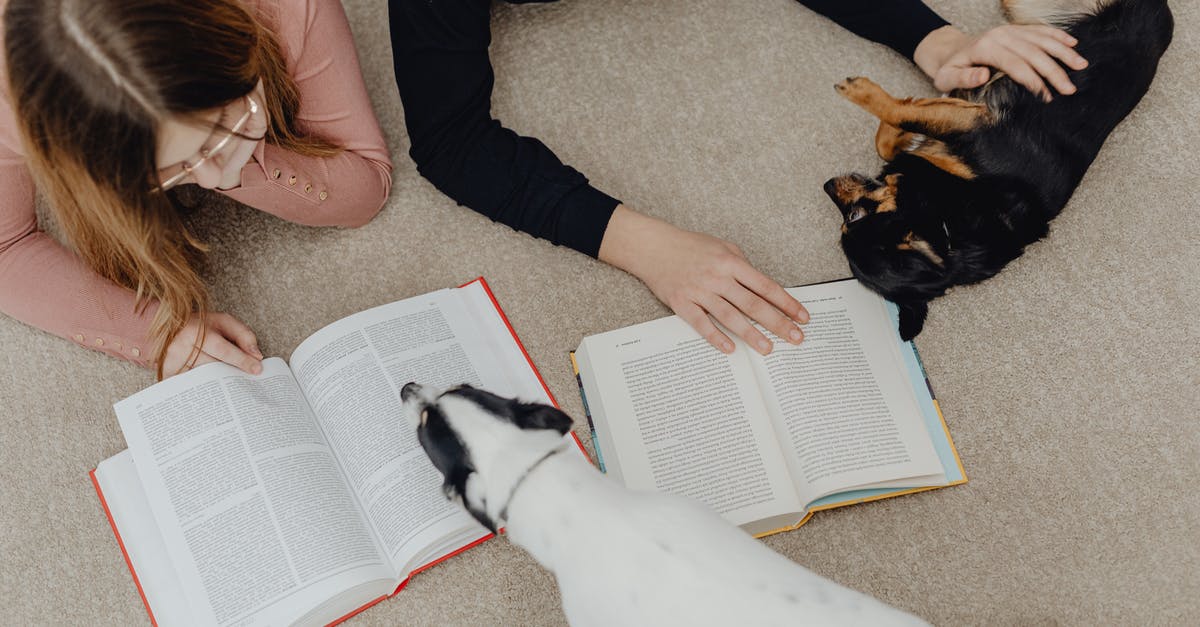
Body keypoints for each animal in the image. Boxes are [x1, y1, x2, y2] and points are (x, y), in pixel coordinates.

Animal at [825, 0, 1171, 336]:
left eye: (855, 216)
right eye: (846, 222)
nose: (827, 185)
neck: (946, 216)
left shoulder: (973, 122)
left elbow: (901, 117)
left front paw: (867, 95)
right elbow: (898, 132)